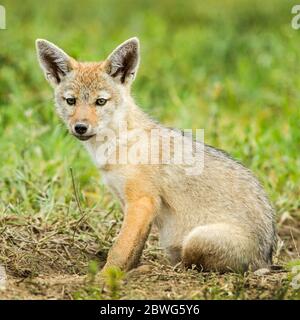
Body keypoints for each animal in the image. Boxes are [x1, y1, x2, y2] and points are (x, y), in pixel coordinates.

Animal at [35, 37, 276, 272]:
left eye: (100, 102)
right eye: (71, 101)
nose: (80, 127)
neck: (118, 144)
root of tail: (265, 260)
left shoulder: (142, 201)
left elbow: (119, 250)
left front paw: (106, 277)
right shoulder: (132, 205)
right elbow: (133, 251)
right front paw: (126, 272)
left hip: (194, 240)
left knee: (191, 266)